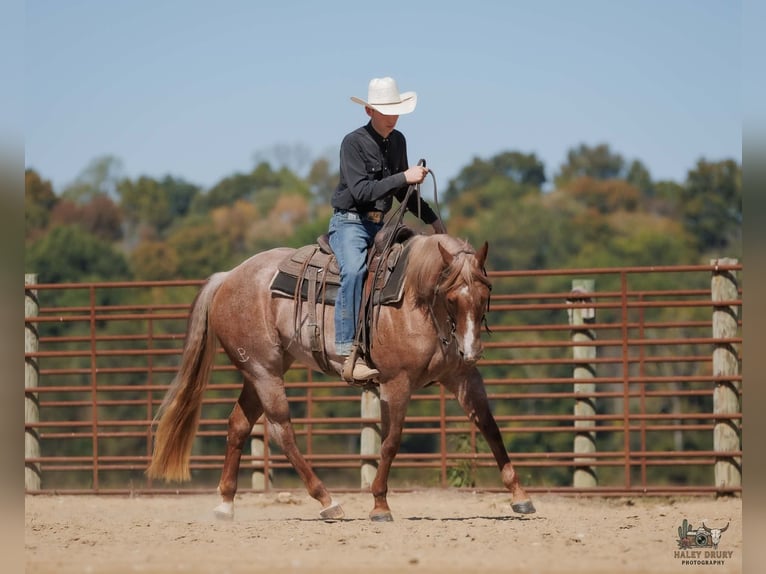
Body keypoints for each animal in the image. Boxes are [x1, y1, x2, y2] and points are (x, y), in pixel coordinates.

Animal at [146, 231, 536, 521]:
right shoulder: (396, 384)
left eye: (485, 292)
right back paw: (327, 501)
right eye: (451, 296)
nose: (471, 350)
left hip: (262, 372)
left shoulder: (463, 378)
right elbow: (390, 442)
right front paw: (379, 504)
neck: (415, 299)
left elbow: (489, 427)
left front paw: (520, 495)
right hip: (264, 371)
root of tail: (228, 278)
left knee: (239, 424)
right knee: (281, 430)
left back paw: (226, 503)